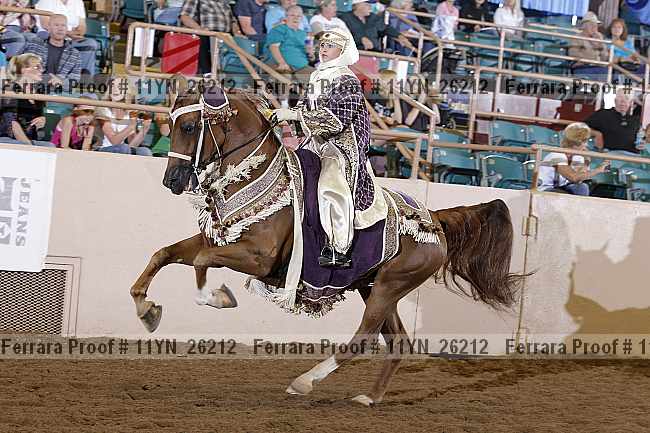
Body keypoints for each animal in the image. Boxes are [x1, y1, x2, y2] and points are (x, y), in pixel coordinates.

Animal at [130, 79, 525, 406]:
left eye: (188, 126)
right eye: (170, 126)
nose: (172, 179)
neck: (257, 175)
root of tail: (435, 221)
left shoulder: (256, 258)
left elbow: (201, 262)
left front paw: (217, 296)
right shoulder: (216, 238)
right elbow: (163, 254)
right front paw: (147, 309)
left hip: (388, 287)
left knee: (363, 339)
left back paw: (305, 382)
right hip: (374, 287)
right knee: (398, 342)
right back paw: (369, 397)